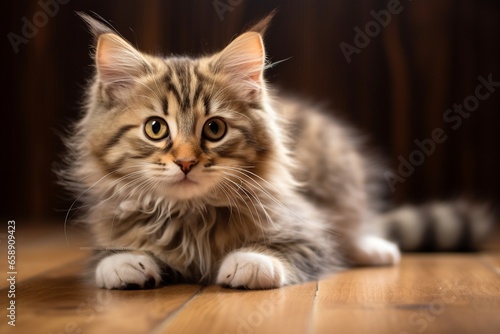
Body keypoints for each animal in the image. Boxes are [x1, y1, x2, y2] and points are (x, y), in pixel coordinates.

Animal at [60, 13, 490, 290]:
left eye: (214, 129)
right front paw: (124, 263)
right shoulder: (110, 224)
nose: (185, 162)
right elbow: (109, 254)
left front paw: (251, 261)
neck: (190, 216)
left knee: (353, 228)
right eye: (155, 128)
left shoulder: (309, 226)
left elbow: (295, 248)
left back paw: (375, 249)